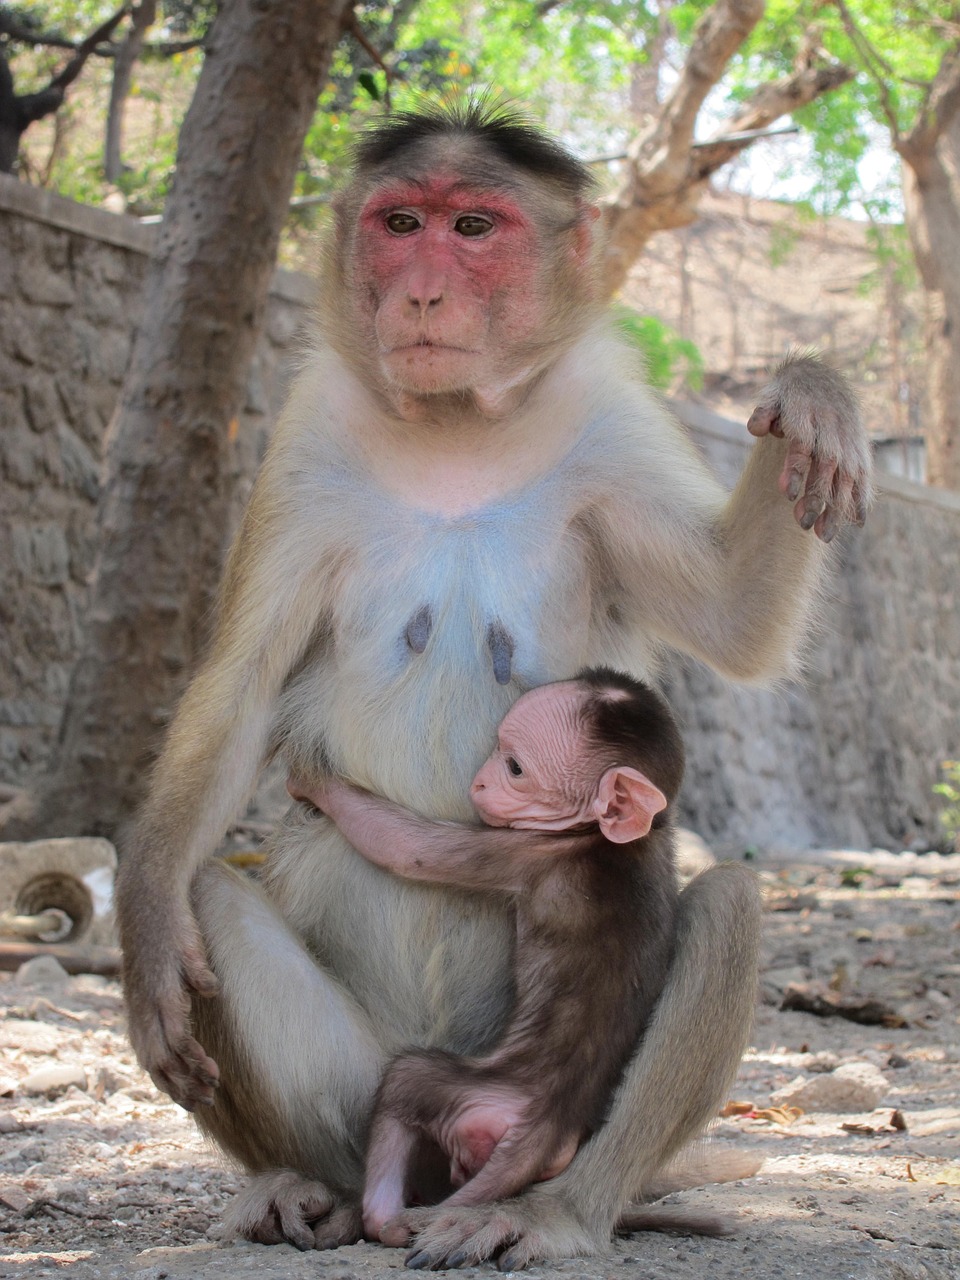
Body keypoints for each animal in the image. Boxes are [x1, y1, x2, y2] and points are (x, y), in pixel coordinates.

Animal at [293, 665, 686, 1244]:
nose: (479, 783)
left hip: (472, 1099)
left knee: (407, 1079)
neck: (607, 839)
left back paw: (387, 1218)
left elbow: (408, 848)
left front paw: (313, 778)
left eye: (515, 767)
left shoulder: (525, 851)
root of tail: (545, 1126)